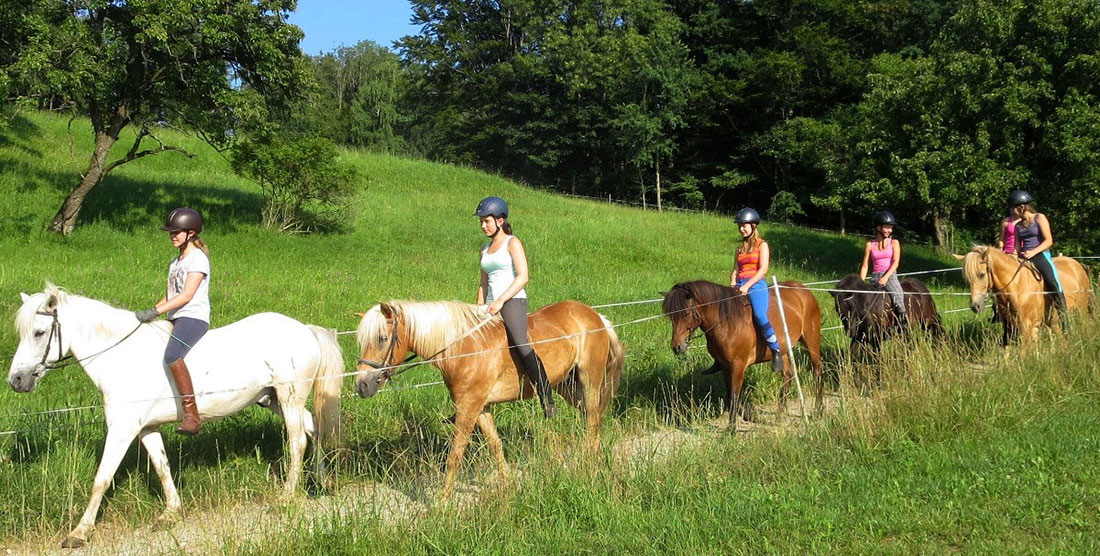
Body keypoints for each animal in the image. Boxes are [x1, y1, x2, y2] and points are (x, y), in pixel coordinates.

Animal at [6, 284, 341, 548]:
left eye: (38, 332)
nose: (16, 381)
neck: (119, 356)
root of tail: (305, 329)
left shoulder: (122, 429)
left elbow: (101, 478)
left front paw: (78, 533)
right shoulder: (146, 428)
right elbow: (162, 467)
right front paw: (170, 514)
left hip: (289, 397)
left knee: (297, 441)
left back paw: (286, 497)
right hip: (273, 399)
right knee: (313, 428)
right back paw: (323, 482)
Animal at [655, 279, 822, 422]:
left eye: (686, 313)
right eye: (671, 317)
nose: (677, 346)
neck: (728, 322)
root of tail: (803, 290)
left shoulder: (738, 365)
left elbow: (734, 395)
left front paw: (731, 430)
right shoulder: (725, 365)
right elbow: (731, 392)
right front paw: (747, 414)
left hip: (811, 341)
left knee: (817, 372)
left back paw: (817, 411)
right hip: (784, 349)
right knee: (787, 375)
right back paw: (779, 414)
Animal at [954, 245, 1091, 343]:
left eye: (982, 274)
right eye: (967, 279)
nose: (975, 306)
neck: (1016, 286)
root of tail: (1076, 264)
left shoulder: (1026, 327)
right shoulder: (1011, 326)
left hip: (1081, 311)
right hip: (1053, 321)